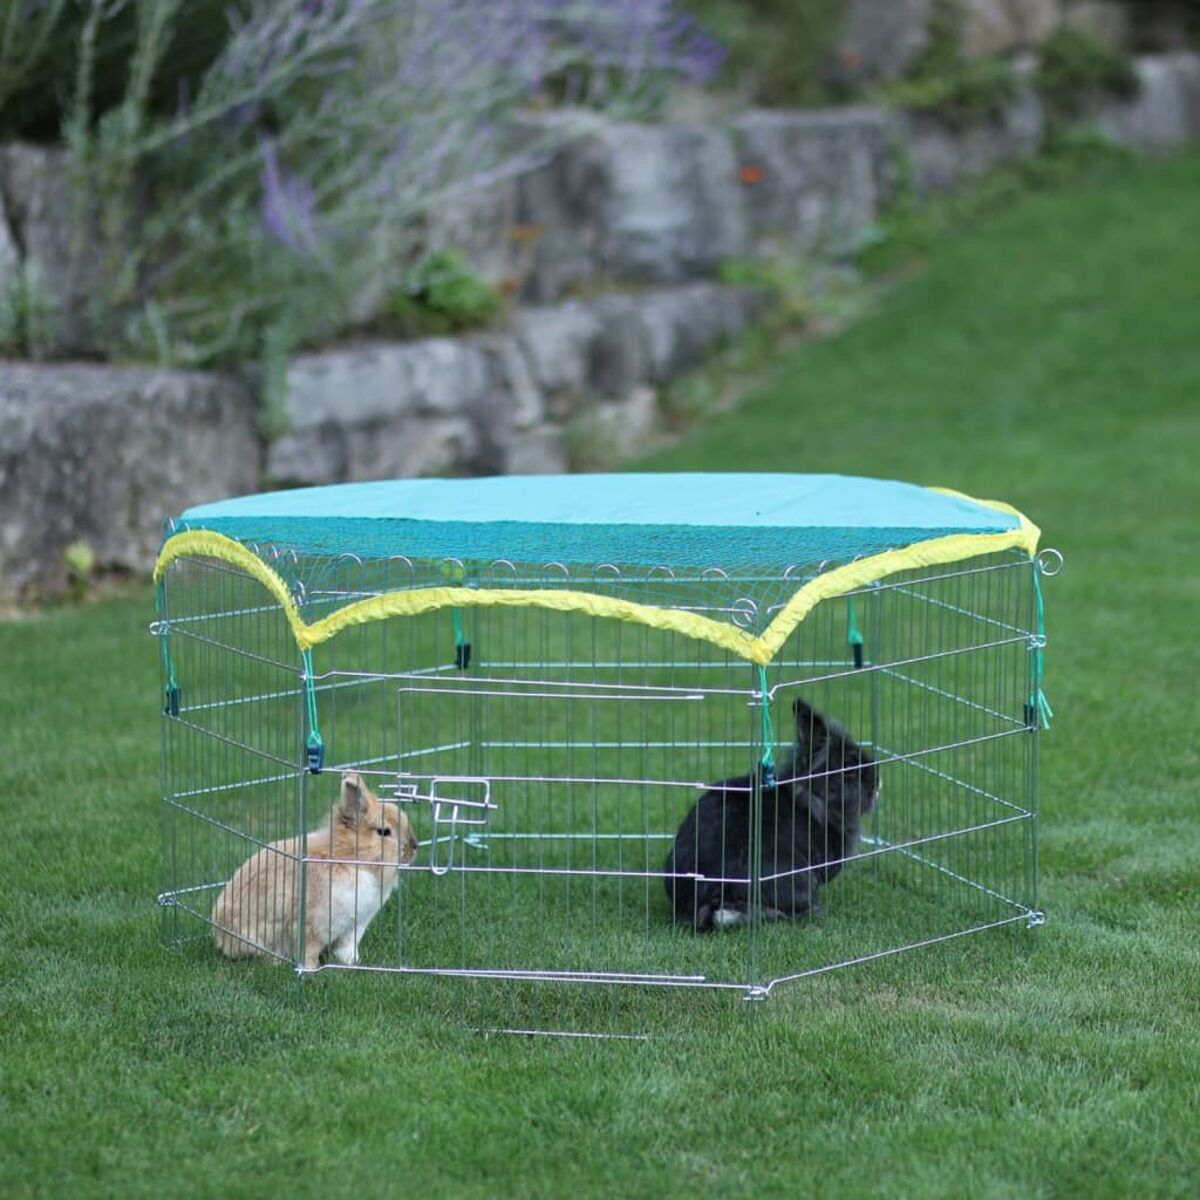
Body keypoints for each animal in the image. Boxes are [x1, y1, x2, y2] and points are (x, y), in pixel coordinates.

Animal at [213, 771, 419, 968]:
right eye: (384, 832)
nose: (414, 846)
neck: (351, 859)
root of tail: (219, 931)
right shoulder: (312, 926)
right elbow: (309, 951)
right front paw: (312, 970)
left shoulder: (353, 927)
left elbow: (347, 949)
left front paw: (354, 963)